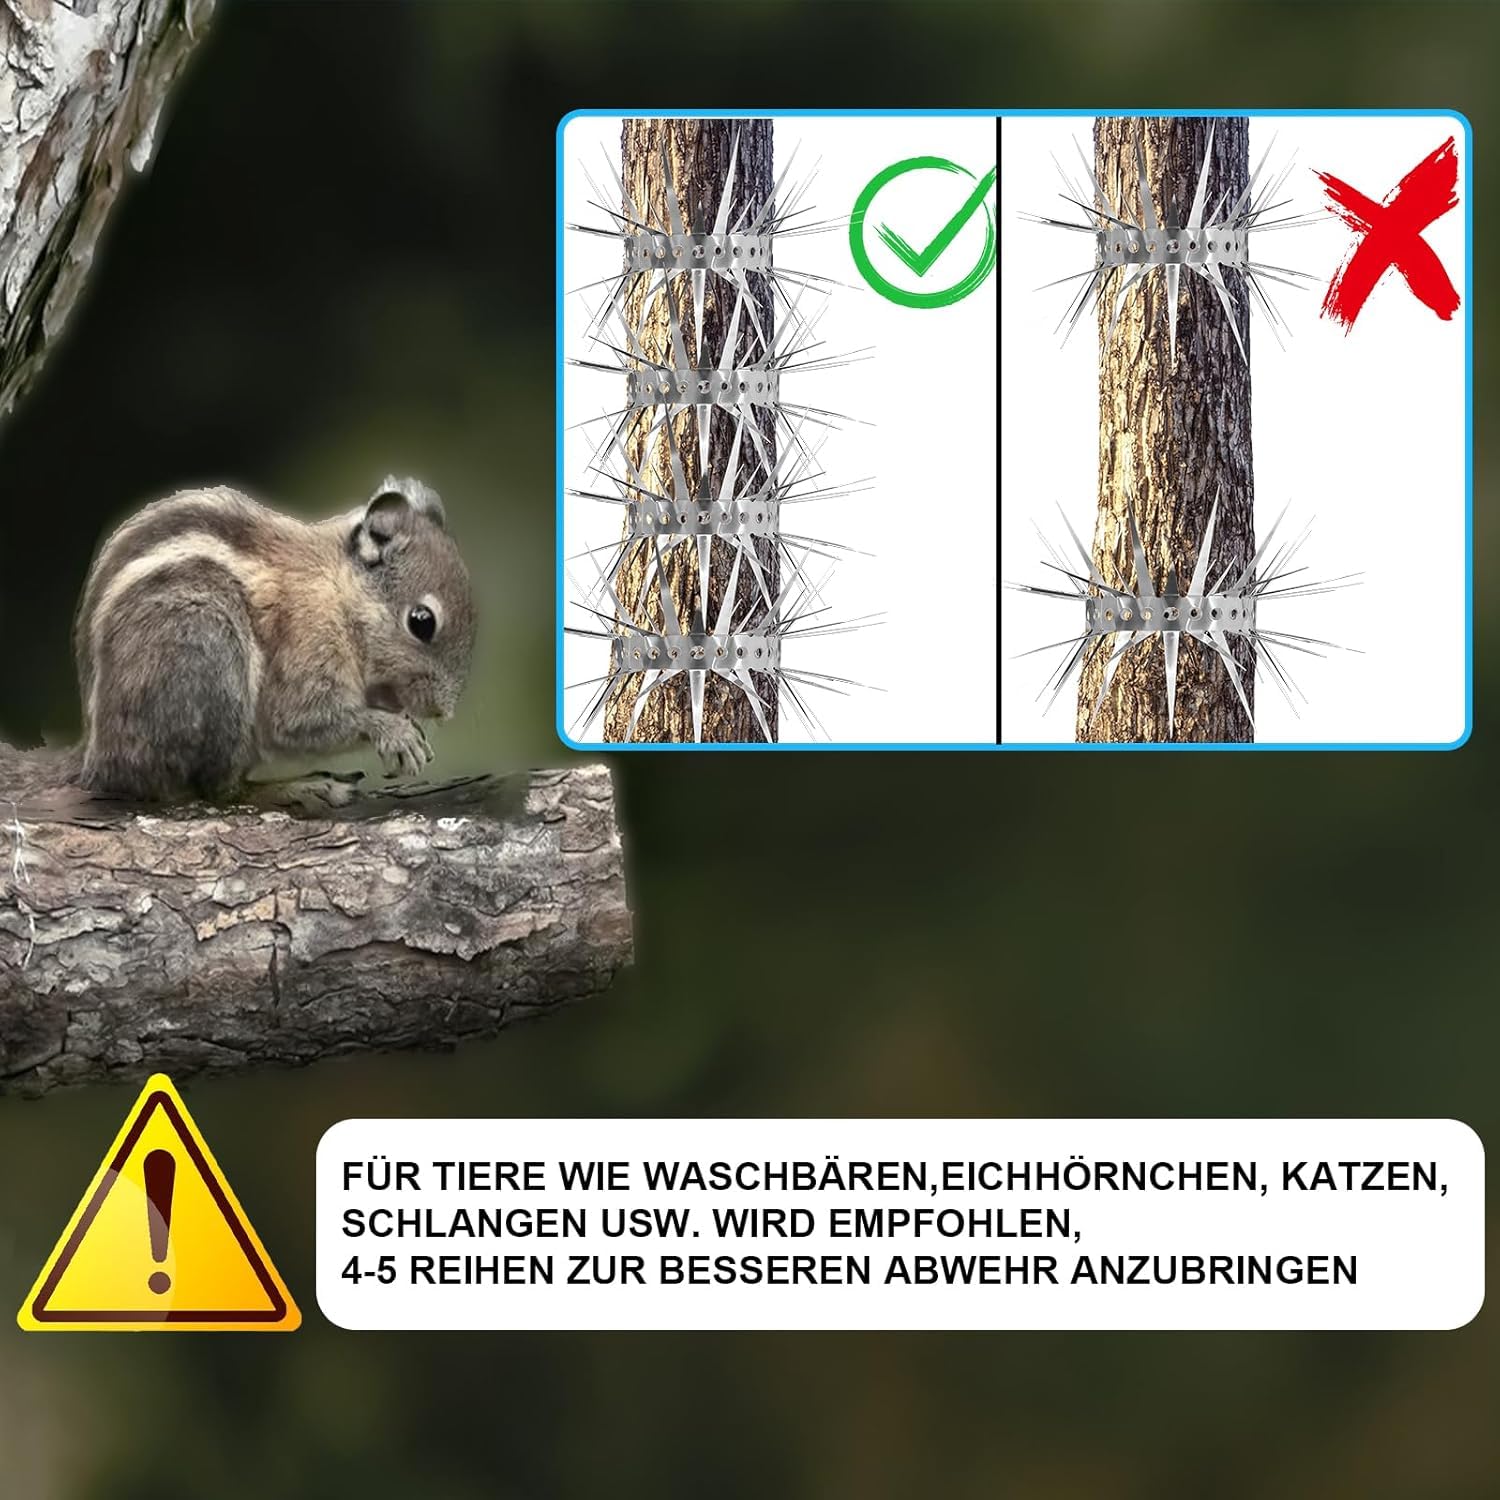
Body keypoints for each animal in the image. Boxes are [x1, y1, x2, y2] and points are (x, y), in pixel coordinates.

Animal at [72, 476, 474, 804]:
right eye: (422, 622)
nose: (444, 712)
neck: (338, 590)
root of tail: (98, 758)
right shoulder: (308, 648)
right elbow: (298, 721)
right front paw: (395, 732)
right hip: (208, 650)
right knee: (221, 791)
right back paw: (299, 787)